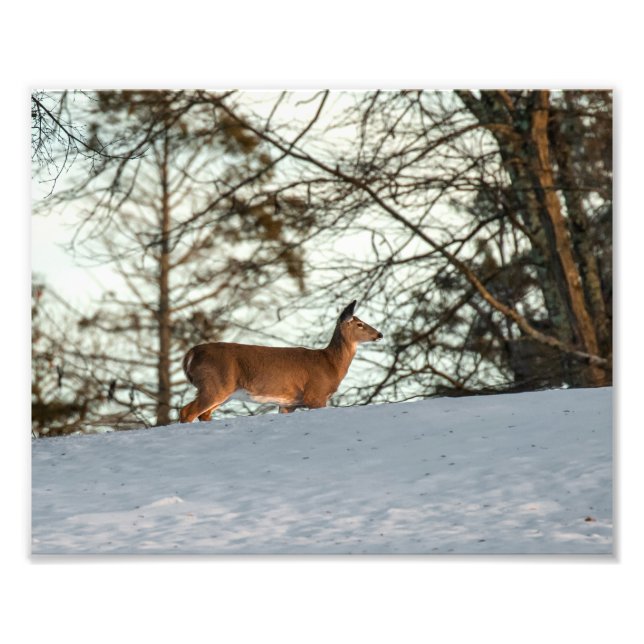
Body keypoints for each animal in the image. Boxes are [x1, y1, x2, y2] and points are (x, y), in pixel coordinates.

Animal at [179, 300, 382, 423]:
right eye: (359, 324)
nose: (379, 334)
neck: (330, 363)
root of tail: (191, 353)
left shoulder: (288, 403)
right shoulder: (315, 394)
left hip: (221, 390)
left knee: (203, 414)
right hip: (215, 384)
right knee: (187, 411)